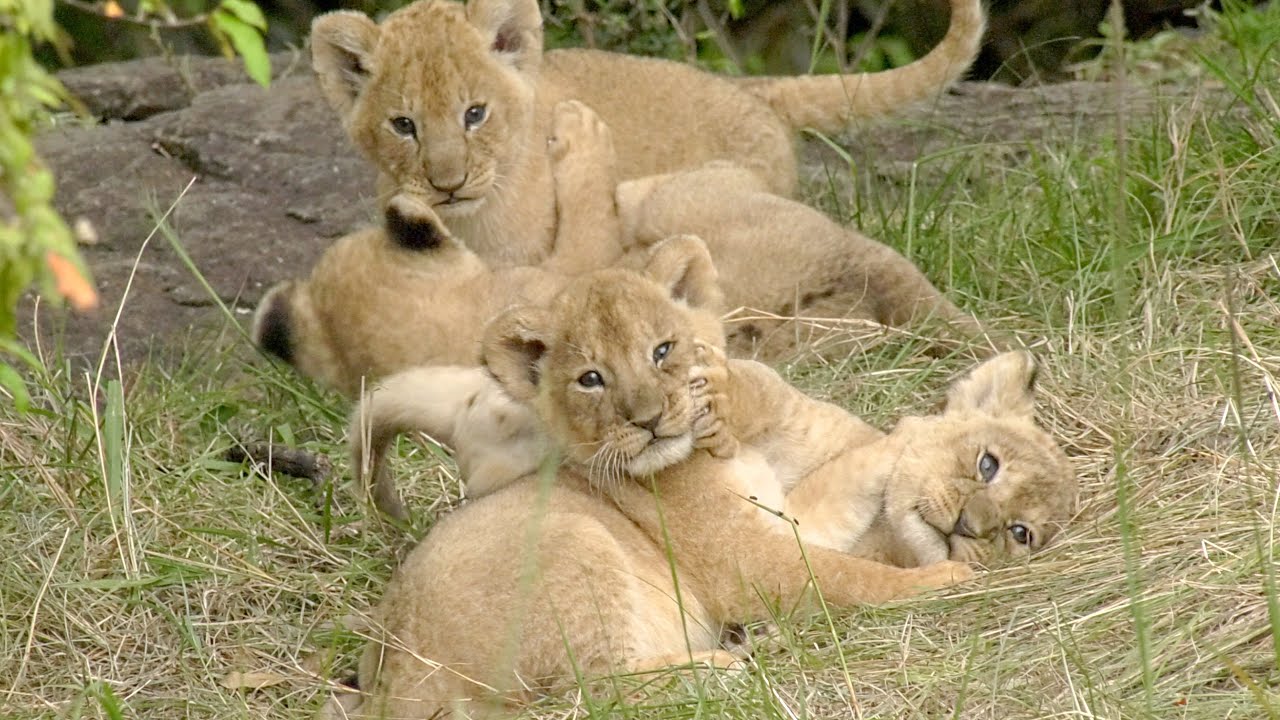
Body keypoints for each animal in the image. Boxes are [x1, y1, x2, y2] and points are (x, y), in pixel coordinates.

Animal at [323, 234, 973, 719]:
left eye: (663, 350)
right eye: (591, 379)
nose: (649, 419)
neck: (730, 449)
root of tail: (396, 680)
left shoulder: (786, 512)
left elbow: (851, 475)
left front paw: (921, 435)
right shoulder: (746, 564)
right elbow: (849, 578)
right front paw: (947, 579)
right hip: (573, 541)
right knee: (592, 693)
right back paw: (726, 666)